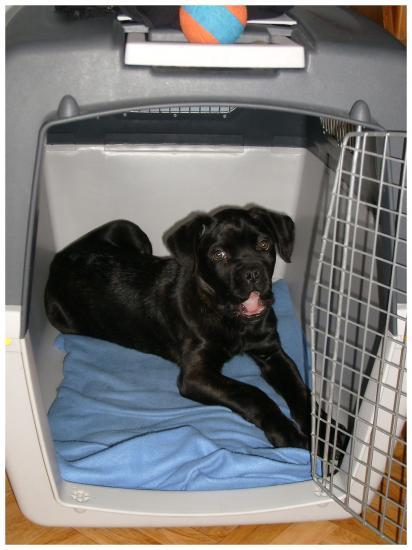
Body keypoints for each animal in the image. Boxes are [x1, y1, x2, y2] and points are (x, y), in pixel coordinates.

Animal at [45, 206, 310, 449]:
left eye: (264, 244)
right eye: (218, 254)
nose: (253, 273)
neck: (231, 320)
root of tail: (58, 259)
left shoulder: (271, 351)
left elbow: (299, 389)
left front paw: (318, 433)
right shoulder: (195, 375)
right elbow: (251, 393)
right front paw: (286, 431)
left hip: (128, 228)